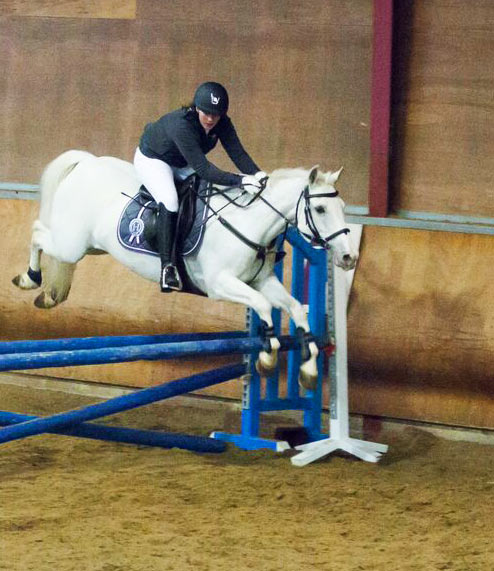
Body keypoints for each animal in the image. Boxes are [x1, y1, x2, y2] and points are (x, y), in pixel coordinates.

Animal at [12, 150, 358, 389]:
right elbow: (263, 306)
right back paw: (29, 279)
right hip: (70, 244)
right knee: (37, 232)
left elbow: (296, 308)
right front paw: (267, 356)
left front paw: (309, 370)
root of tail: (87, 163)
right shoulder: (220, 284)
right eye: (320, 209)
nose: (348, 258)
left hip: (89, 246)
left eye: (342, 208)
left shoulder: (262, 280)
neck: (250, 221)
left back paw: (46, 293)